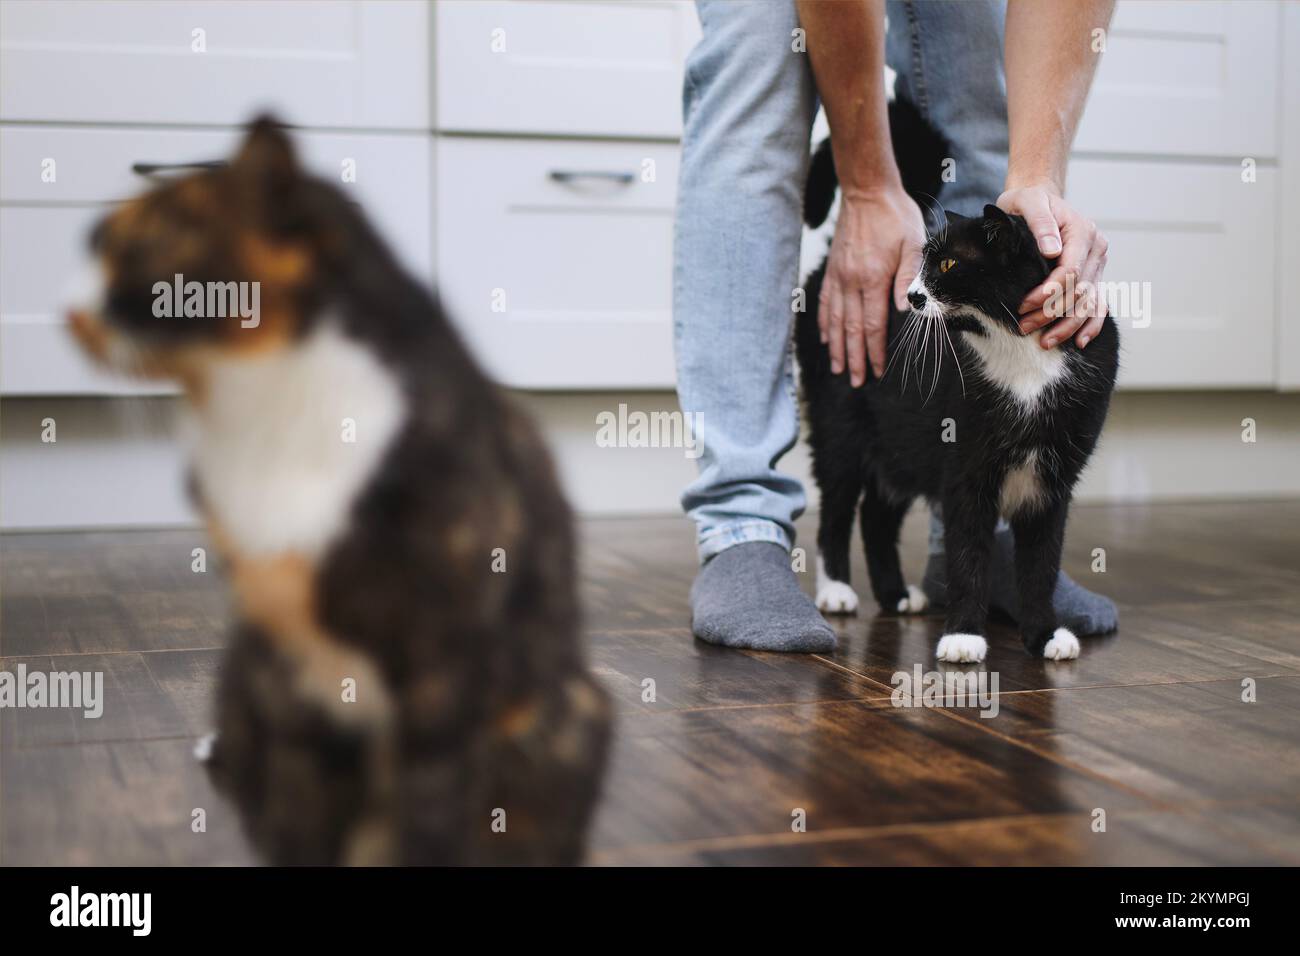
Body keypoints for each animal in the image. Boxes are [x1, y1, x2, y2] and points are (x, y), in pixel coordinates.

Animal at [62, 115, 608, 863]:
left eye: (143, 247)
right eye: (95, 245)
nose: (70, 313)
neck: (266, 418)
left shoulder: (447, 667)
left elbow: (432, 818)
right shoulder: (288, 679)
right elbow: (302, 821)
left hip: (567, 714)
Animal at [795, 100, 1123, 660]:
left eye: (948, 262)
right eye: (922, 261)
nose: (911, 296)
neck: (1018, 349)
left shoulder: (1053, 483)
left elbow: (1041, 565)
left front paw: (1045, 633)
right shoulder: (965, 470)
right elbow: (968, 555)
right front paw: (964, 638)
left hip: (900, 445)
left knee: (877, 515)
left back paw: (897, 595)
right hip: (841, 423)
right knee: (837, 506)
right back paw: (837, 590)